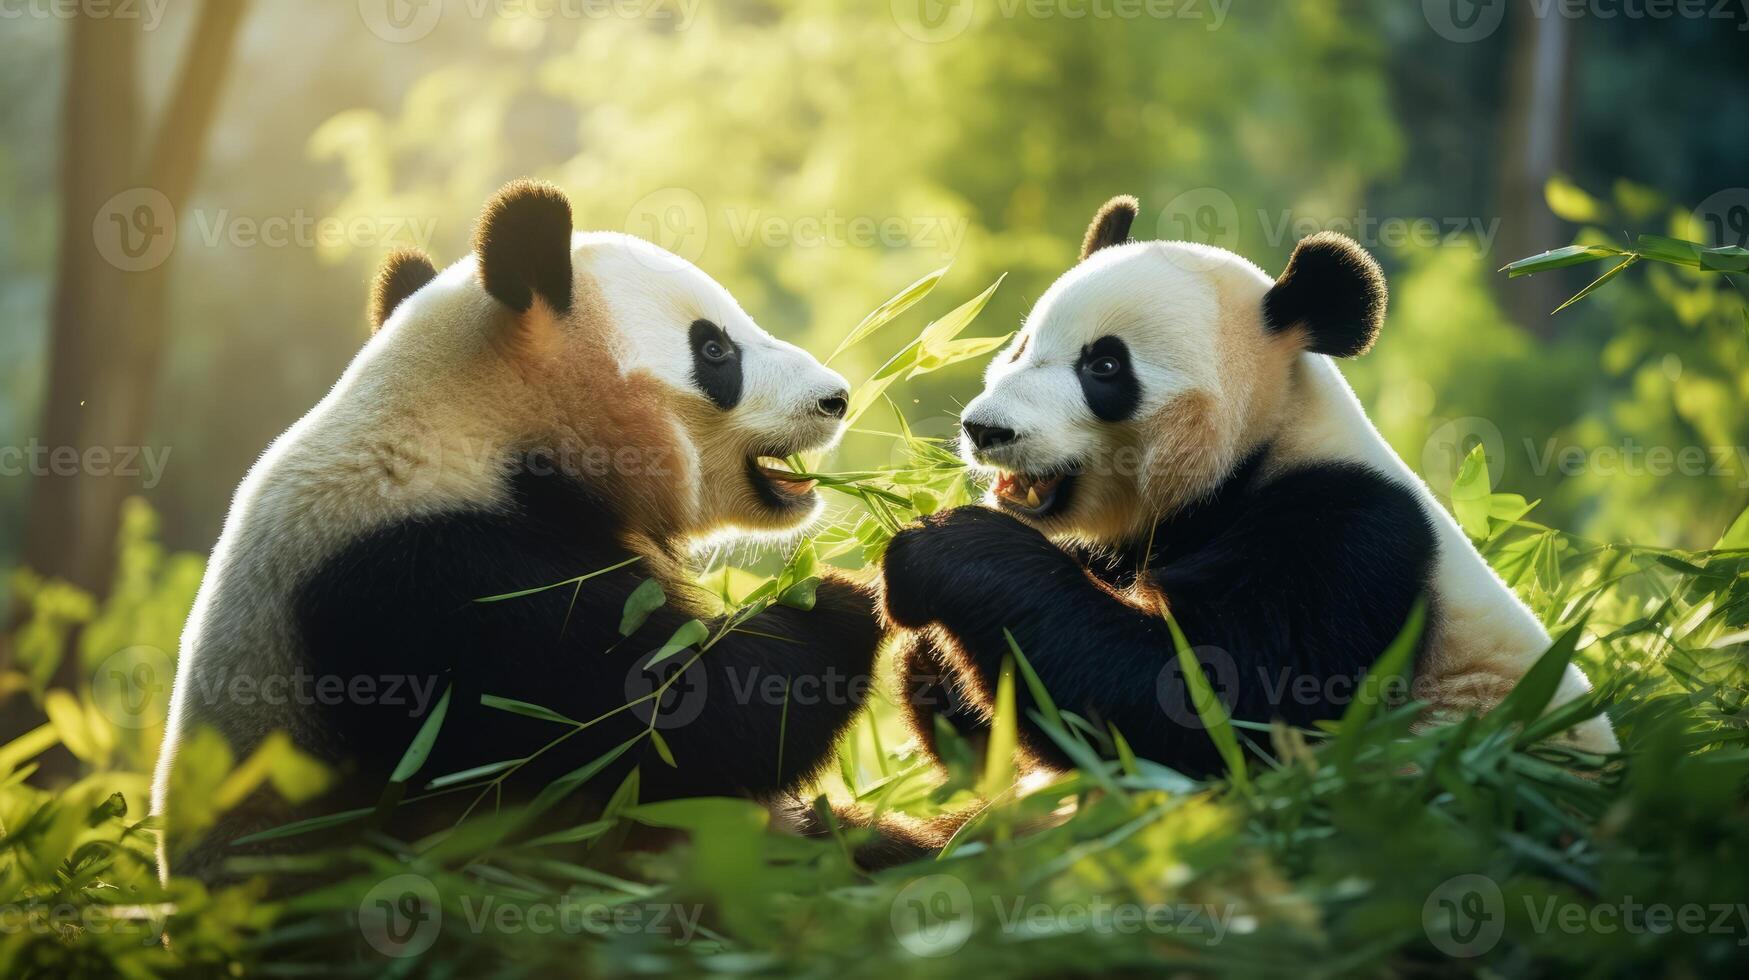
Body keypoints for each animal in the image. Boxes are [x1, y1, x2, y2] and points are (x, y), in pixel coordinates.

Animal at [152, 182, 902, 882]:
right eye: (715, 348)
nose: (835, 398)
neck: (479, 424)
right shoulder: (435, 584)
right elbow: (675, 719)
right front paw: (845, 597)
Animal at [881, 195, 1616, 780]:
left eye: (1105, 366)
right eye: (1021, 346)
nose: (985, 429)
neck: (1260, 449)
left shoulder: (1348, 536)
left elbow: (1216, 705)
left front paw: (936, 553)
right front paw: (922, 647)